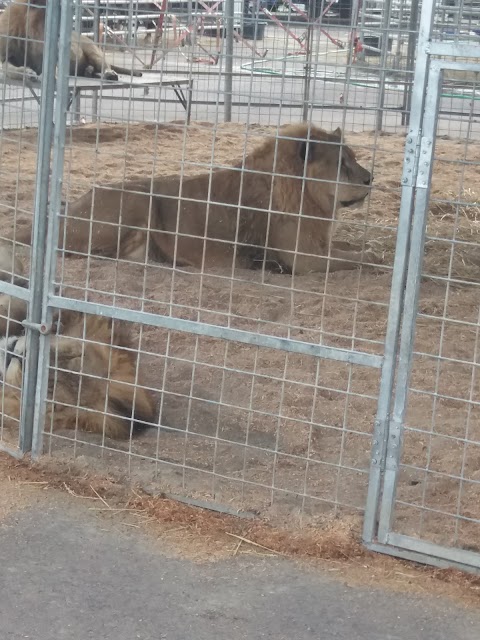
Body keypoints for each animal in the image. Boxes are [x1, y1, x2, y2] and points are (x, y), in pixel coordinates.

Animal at [0, 0, 142, 82]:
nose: (63, 35)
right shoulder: (6, 55)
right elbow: (7, 69)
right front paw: (27, 72)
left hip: (93, 50)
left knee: (104, 66)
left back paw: (108, 74)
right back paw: (88, 71)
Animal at [15, 122, 374, 276]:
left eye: (354, 158)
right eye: (342, 164)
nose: (370, 178)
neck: (316, 203)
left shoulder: (320, 245)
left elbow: (352, 249)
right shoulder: (305, 259)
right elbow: (362, 259)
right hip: (140, 198)